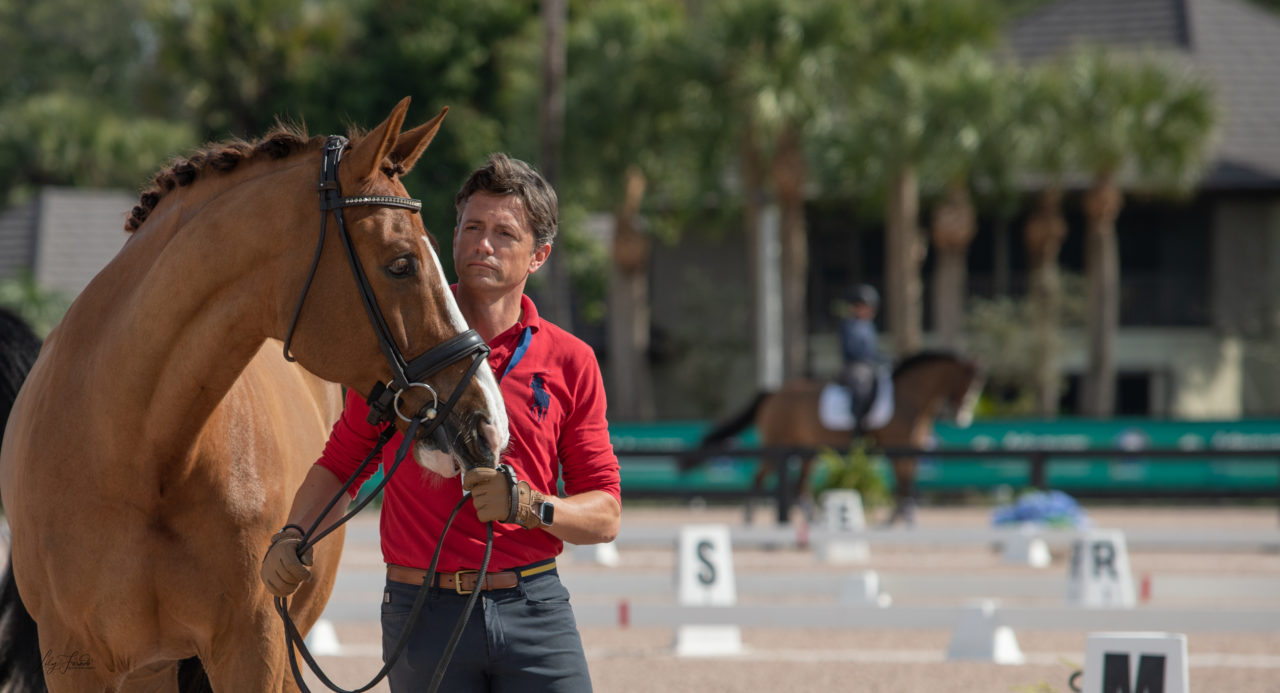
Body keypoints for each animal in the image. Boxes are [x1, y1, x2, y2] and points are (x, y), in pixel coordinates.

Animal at [691, 348, 977, 527]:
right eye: (969, 383)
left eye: (976, 386)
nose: (963, 417)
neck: (909, 398)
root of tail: (773, 393)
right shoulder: (899, 448)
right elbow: (904, 484)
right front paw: (899, 519)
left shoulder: (911, 449)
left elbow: (908, 485)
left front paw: (903, 518)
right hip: (778, 446)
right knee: (760, 478)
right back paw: (750, 519)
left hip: (806, 450)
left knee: (800, 488)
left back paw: (813, 521)